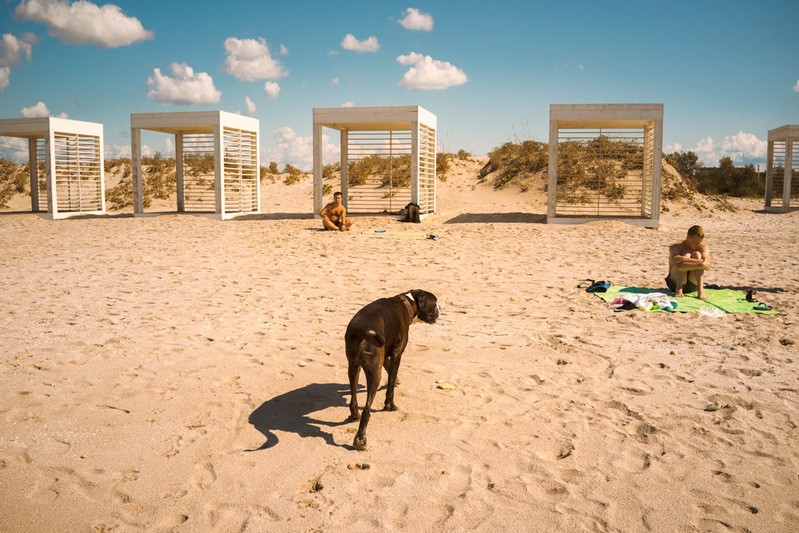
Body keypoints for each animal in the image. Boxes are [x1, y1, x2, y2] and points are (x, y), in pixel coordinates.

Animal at [346, 290, 440, 448]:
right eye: (434, 303)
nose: (440, 310)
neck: (407, 302)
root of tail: (362, 332)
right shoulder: (397, 354)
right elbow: (391, 382)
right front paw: (390, 405)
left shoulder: (385, 354)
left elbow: (389, 370)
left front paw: (397, 380)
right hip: (374, 374)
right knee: (366, 410)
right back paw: (360, 439)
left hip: (353, 368)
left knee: (353, 400)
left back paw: (354, 416)